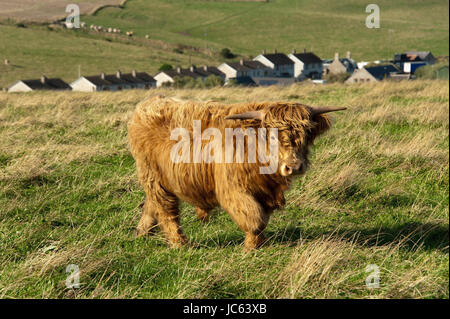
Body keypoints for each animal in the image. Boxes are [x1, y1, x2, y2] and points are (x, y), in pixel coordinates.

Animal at [128, 96, 346, 251]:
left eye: (306, 133)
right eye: (272, 135)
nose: (294, 166)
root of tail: (148, 104)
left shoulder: (264, 192)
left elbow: (261, 218)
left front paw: (257, 243)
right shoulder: (233, 190)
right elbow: (254, 218)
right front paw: (251, 247)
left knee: (152, 203)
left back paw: (142, 232)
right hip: (153, 176)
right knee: (167, 210)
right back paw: (179, 243)